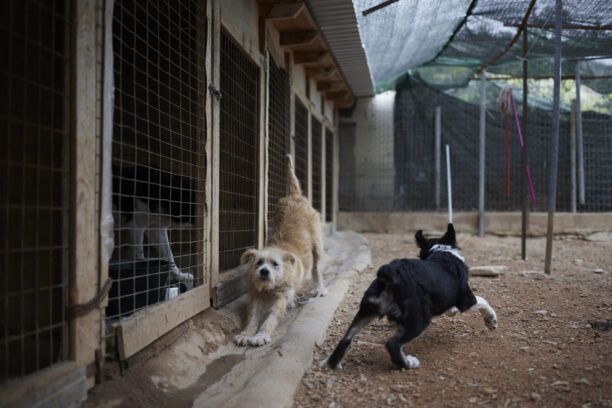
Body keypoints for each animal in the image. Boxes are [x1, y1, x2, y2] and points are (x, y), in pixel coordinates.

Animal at [235, 155, 330, 346]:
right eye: (259, 263)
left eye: (275, 264)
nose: (264, 272)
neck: (270, 288)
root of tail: (295, 195)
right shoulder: (255, 295)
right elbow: (252, 317)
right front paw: (246, 333)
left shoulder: (281, 298)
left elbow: (271, 318)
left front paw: (261, 335)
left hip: (317, 245)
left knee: (316, 269)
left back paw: (319, 288)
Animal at [320, 223, 498, 370]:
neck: (442, 251)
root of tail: (391, 272)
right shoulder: (466, 299)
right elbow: (483, 301)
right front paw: (491, 321)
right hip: (419, 320)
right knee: (392, 344)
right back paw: (408, 363)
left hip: (366, 311)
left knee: (346, 339)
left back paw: (330, 365)